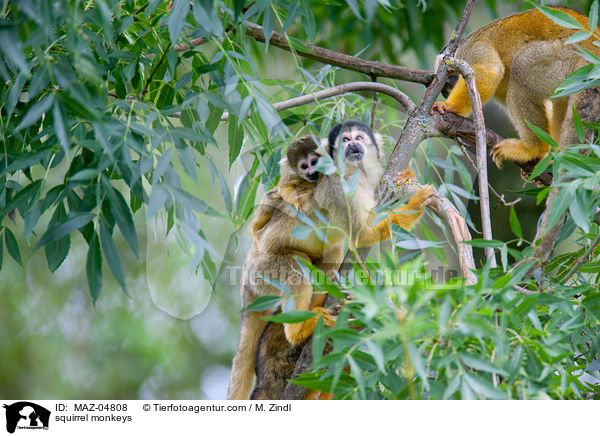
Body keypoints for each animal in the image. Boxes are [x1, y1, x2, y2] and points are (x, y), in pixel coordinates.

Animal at [227, 121, 434, 400]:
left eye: (358, 138)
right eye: (345, 140)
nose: (353, 145)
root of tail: (248, 270)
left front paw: (407, 176)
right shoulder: (337, 187)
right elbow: (361, 234)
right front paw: (412, 206)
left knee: (330, 254)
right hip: (266, 269)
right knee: (297, 267)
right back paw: (300, 330)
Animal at [432, 8, 600, 169]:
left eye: (450, 83)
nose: (448, 93)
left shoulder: (470, 49)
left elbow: (490, 70)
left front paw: (450, 106)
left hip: (568, 55)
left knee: (521, 67)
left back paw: (533, 149)